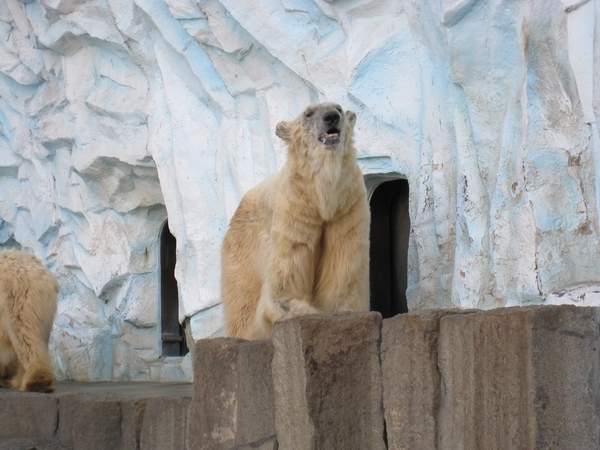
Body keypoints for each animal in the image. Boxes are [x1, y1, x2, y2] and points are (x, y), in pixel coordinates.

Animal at [221, 102, 370, 340]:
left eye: (338, 108)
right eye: (308, 113)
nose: (331, 117)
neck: (322, 197)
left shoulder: (346, 206)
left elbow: (343, 260)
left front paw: (342, 312)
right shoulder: (296, 205)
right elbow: (289, 267)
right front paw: (304, 311)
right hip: (244, 247)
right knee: (242, 298)